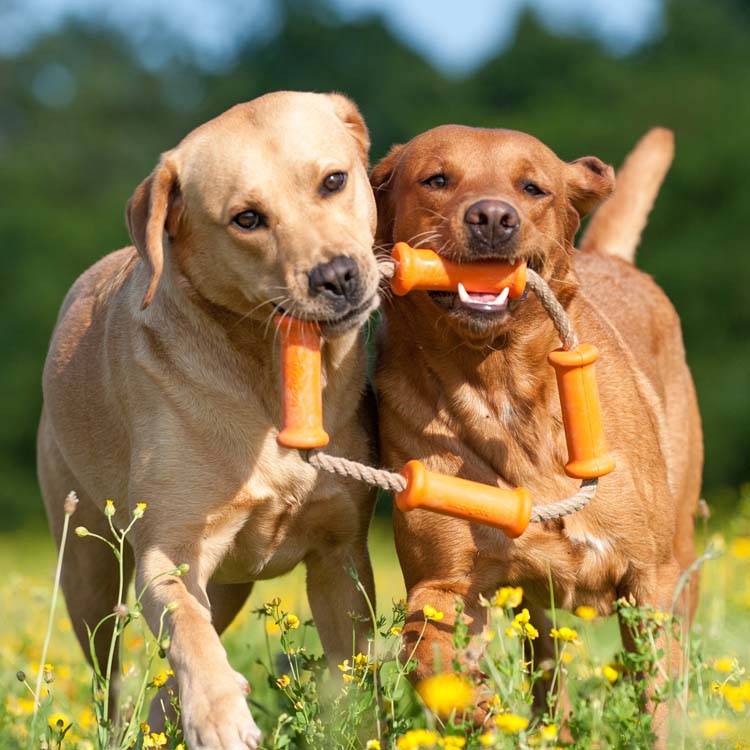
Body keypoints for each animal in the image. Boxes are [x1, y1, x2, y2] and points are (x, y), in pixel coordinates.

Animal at [37, 92, 382, 750]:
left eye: (334, 180)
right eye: (247, 218)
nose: (338, 275)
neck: (265, 380)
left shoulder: (339, 556)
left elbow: (354, 672)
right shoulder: (166, 550)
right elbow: (187, 630)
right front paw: (220, 715)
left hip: (229, 585)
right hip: (88, 570)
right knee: (113, 673)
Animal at [374, 126, 704, 744]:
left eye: (532, 188)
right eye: (437, 179)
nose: (492, 217)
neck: (500, 382)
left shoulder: (651, 577)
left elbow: (659, 700)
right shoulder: (445, 580)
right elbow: (428, 656)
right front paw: (478, 708)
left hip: (681, 550)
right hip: (537, 606)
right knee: (549, 670)